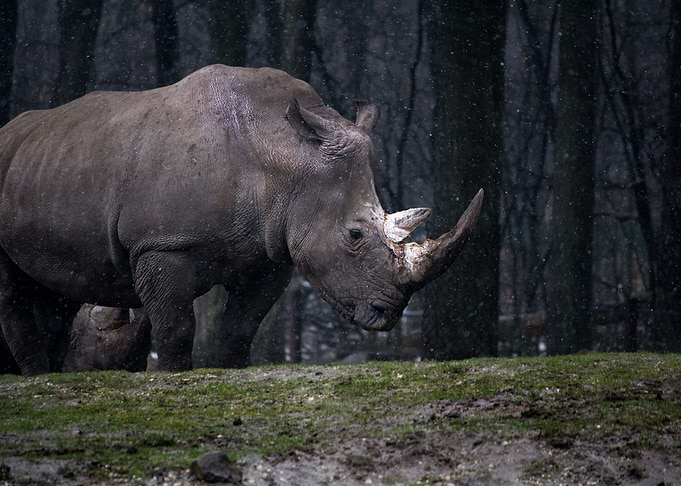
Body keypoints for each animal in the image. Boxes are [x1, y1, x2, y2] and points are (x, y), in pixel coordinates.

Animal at [0, 65, 482, 375]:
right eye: (354, 235)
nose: (387, 314)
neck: (284, 156)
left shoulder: (269, 253)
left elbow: (240, 327)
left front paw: (229, 369)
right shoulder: (162, 243)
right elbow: (175, 326)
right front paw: (174, 377)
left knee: (57, 289)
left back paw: (53, 375)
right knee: (17, 292)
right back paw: (40, 378)